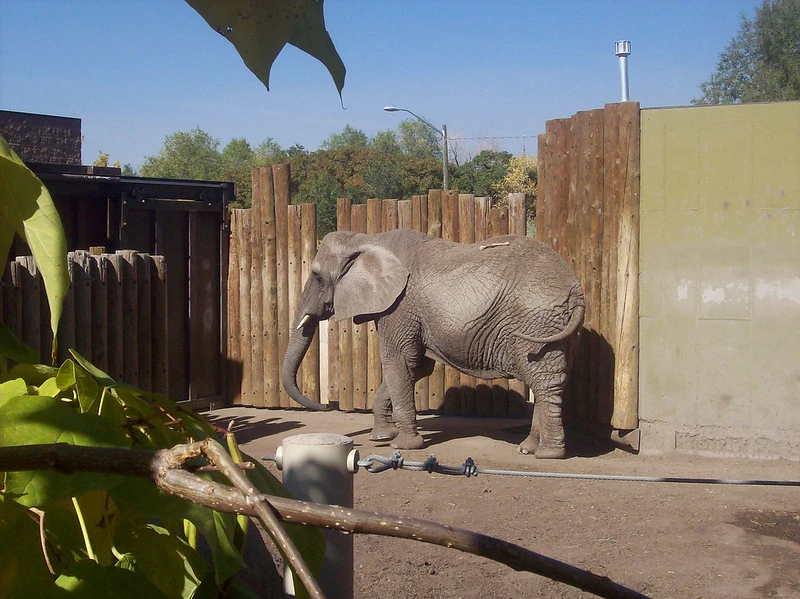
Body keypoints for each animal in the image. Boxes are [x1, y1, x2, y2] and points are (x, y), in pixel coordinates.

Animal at [280, 230, 580, 460]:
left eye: (318, 277)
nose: (327, 406)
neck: (367, 240)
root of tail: (575, 288)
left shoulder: (399, 306)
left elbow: (399, 362)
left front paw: (402, 445)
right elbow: (416, 367)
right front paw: (381, 437)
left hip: (537, 322)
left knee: (544, 381)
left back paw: (548, 454)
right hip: (556, 328)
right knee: (549, 381)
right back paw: (528, 448)